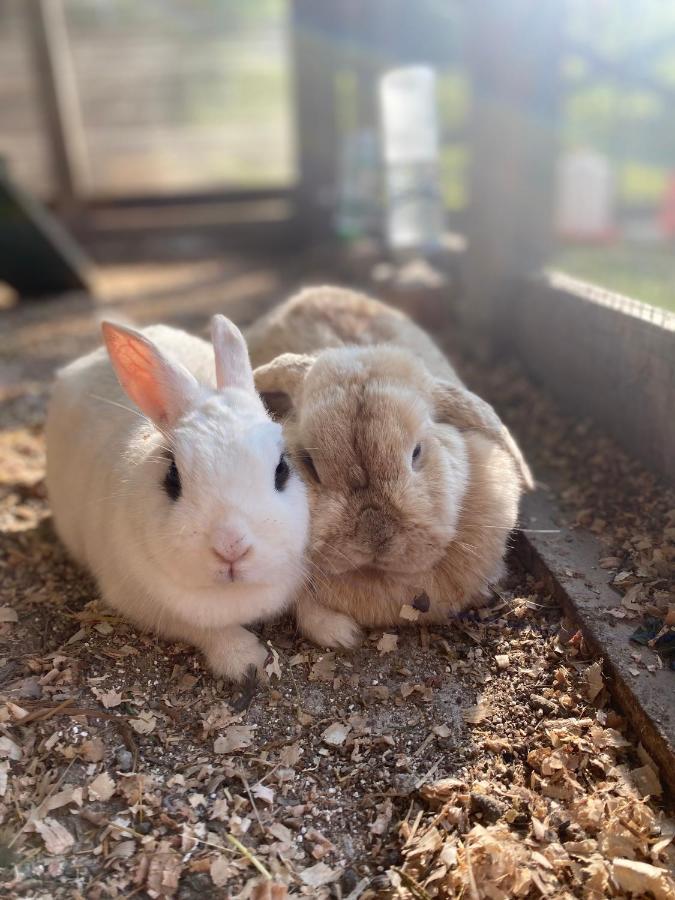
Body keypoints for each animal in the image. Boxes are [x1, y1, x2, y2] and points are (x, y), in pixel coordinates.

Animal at [46, 316, 310, 684]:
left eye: (282, 469)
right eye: (173, 476)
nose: (231, 547)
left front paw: (339, 629)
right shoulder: (156, 609)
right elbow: (213, 631)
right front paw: (248, 661)